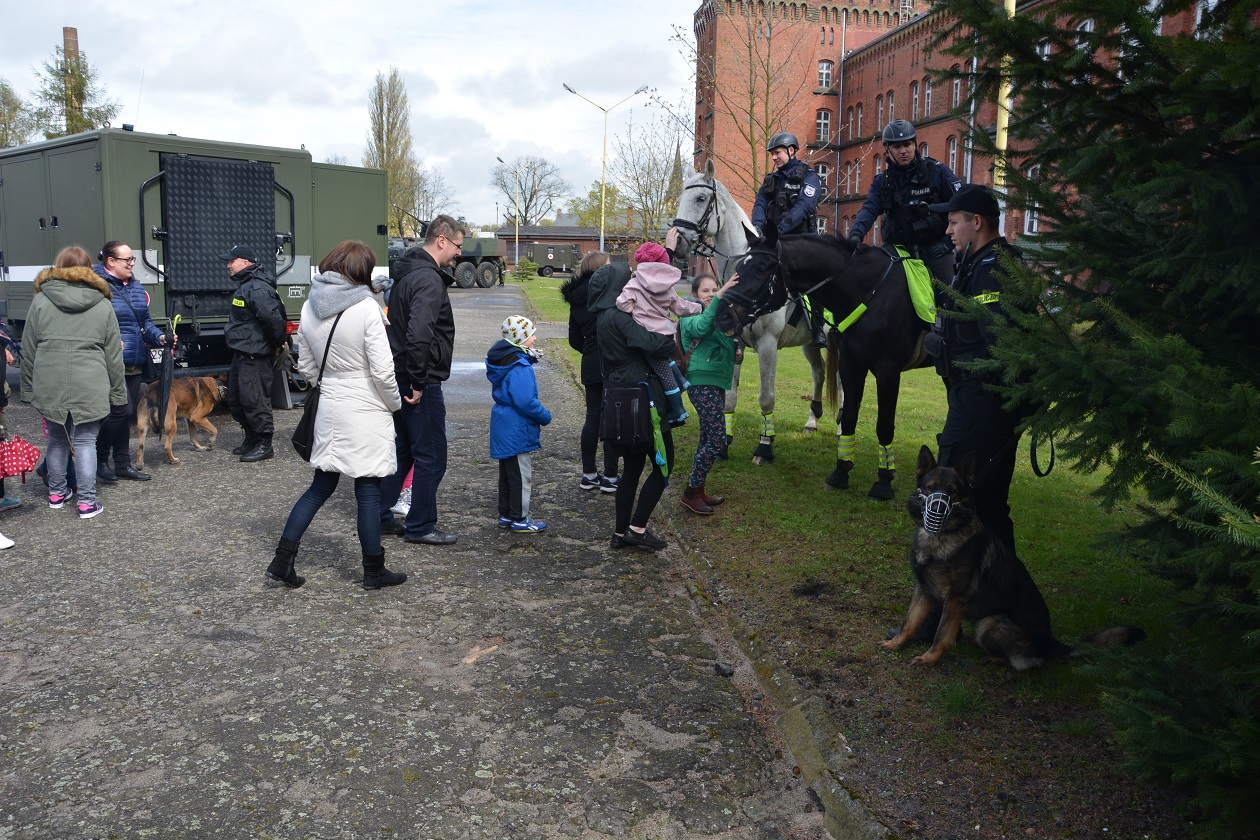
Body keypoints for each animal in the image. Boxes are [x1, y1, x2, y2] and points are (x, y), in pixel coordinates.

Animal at [670, 159, 836, 465]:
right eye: (680, 200)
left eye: (700, 199)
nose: (677, 244)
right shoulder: (733, 343)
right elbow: (729, 396)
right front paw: (724, 444)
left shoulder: (768, 346)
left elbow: (766, 398)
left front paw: (764, 446)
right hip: (808, 343)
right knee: (819, 372)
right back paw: (811, 422)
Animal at [882, 445, 1149, 669]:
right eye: (930, 488)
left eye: (953, 493)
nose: (937, 508)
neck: (943, 537)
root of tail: (1049, 643)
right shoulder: (924, 591)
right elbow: (910, 621)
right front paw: (897, 644)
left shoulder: (955, 601)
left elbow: (941, 635)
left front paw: (929, 659)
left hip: (989, 623)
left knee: (1026, 663)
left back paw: (995, 658)